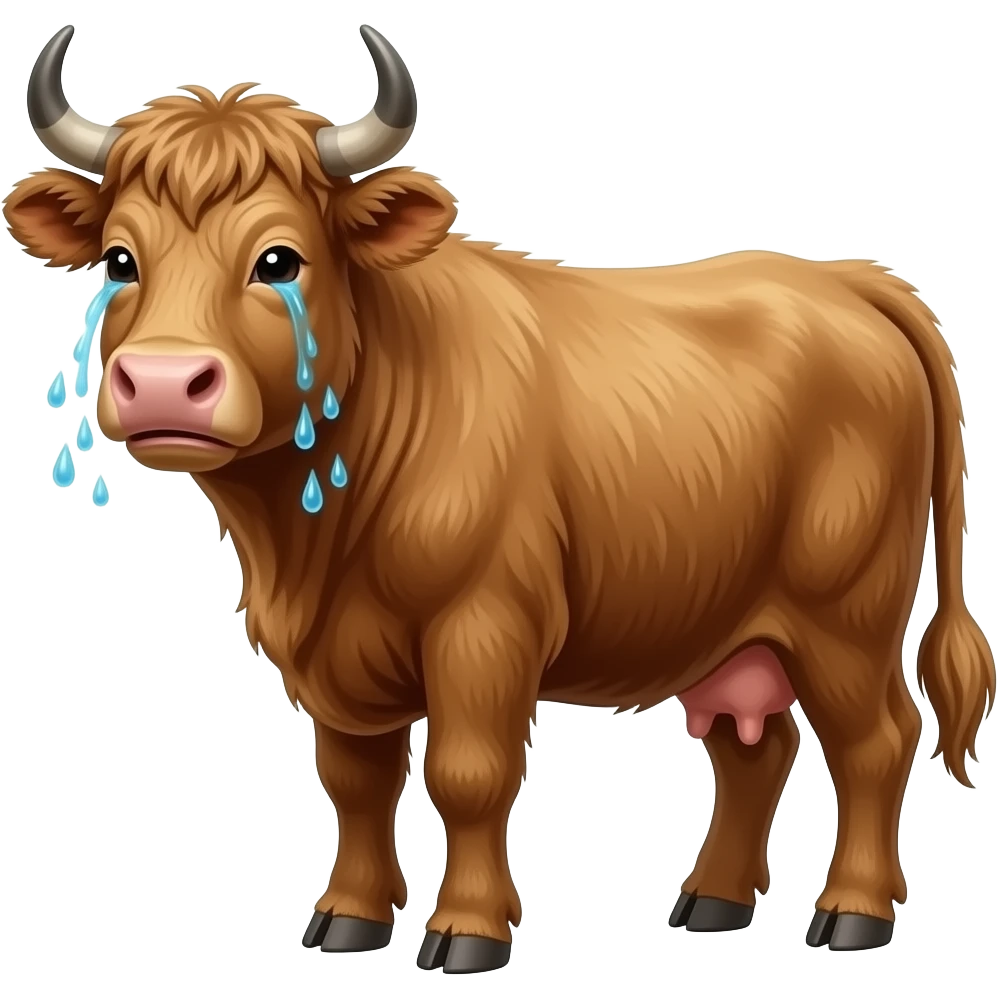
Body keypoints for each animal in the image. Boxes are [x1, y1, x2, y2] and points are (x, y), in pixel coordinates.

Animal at [7, 22, 994, 973]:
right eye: (121, 260)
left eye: (278, 260)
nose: (164, 383)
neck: (307, 541)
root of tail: (845, 279)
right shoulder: (328, 654)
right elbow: (354, 780)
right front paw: (348, 919)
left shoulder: (484, 625)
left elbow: (467, 773)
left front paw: (468, 931)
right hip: (734, 626)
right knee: (756, 748)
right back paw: (713, 903)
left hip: (847, 615)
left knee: (877, 742)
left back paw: (853, 914)